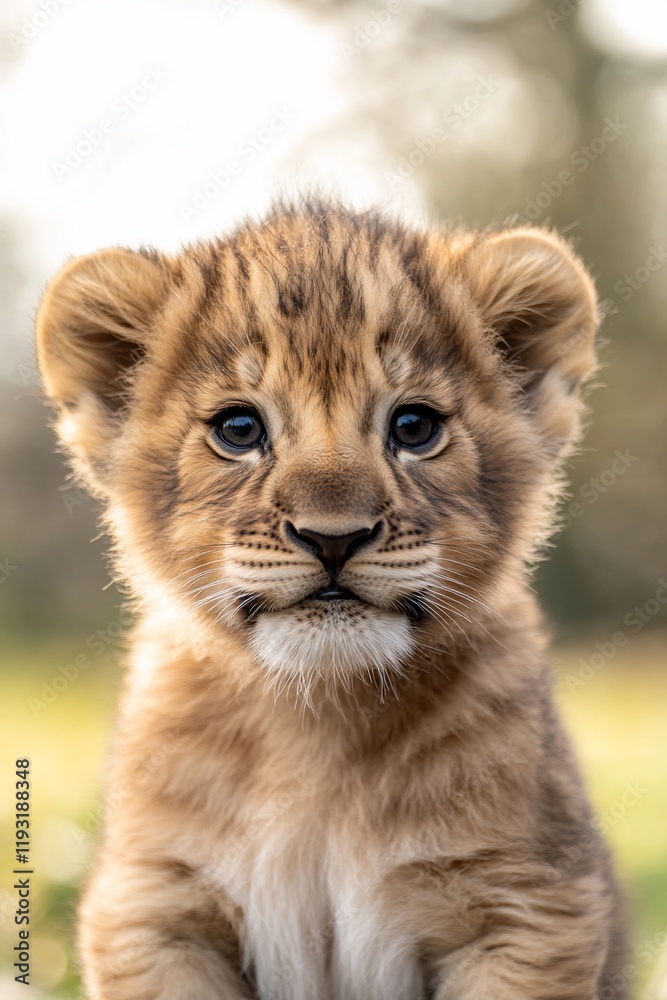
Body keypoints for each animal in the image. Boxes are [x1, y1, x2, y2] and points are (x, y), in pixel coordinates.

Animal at [36, 200, 625, 999]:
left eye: (414, 427)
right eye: (238, 428)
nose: (333, 537)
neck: (316, 723)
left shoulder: (528, 907)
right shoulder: (153, 909)